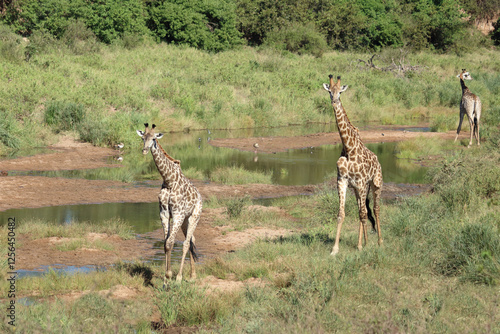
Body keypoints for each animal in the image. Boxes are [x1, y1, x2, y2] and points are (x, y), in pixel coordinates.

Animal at [137, 122, 203, 282]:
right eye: (143, 137)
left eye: (154, 138)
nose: (144, 150)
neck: (169, 180)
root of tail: (200, 197)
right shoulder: (164, 213)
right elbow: (166, 243)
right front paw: (167, 277)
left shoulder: (177, 213)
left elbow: (170, 242)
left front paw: (173, 276)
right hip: (185, 220)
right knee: (191, 240)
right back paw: (192, 275)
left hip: (194, 217)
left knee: (186, 243)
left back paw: (180, 277)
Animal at [324, 74, 382, 254]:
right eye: (330, 91)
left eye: (340, 92)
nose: (334, 101)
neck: (349, 149)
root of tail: (378, 161)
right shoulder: (342, 181)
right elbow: (341, 214)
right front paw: (335, 249)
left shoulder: (362, 183)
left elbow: (363, 213)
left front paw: (362, 245)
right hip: (358, 189)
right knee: (362, 210)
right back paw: (365, 242)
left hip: (376, 183)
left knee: (375, 209)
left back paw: (379, 241)